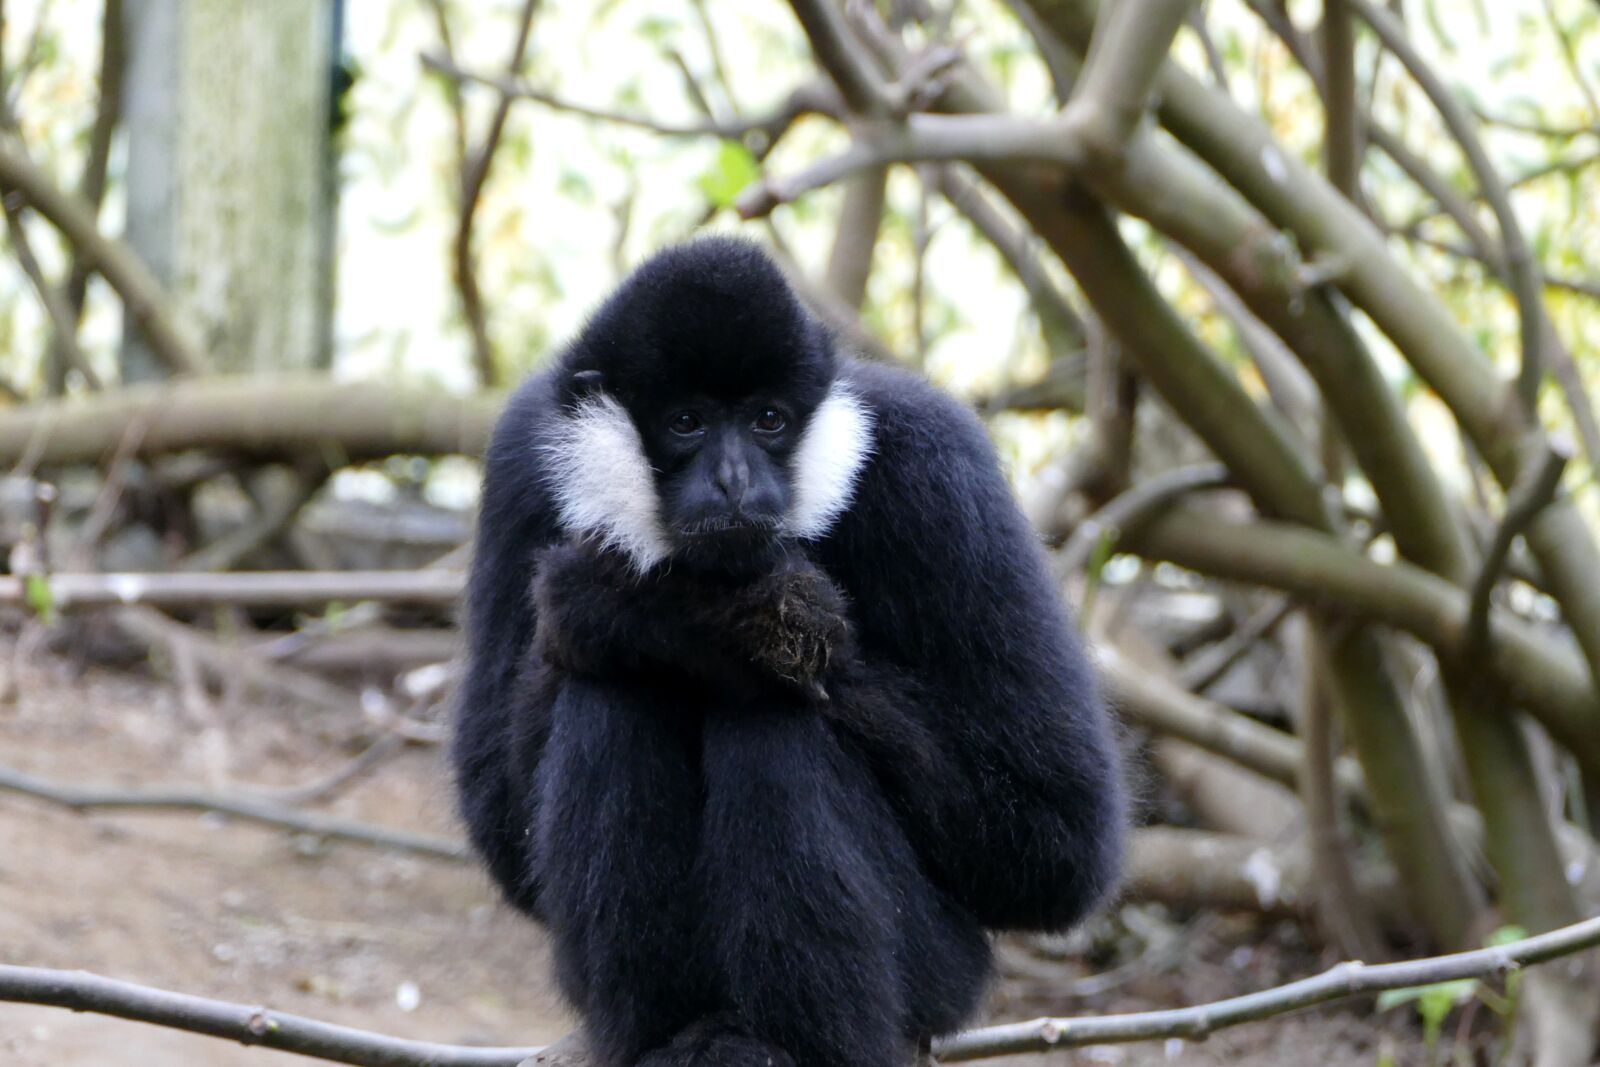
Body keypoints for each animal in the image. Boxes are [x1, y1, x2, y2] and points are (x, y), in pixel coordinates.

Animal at [452, 236, 1127, 1067]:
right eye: (687, 422)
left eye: (768, 419)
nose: (734, 478)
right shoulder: (522, 455)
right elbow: (502, 825)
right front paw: (665, 616)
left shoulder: (939, 461)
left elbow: (1059, 839)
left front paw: (689, 618)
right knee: (611, 695)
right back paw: (667, 1034)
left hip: (945, 975)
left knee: (776, 725)